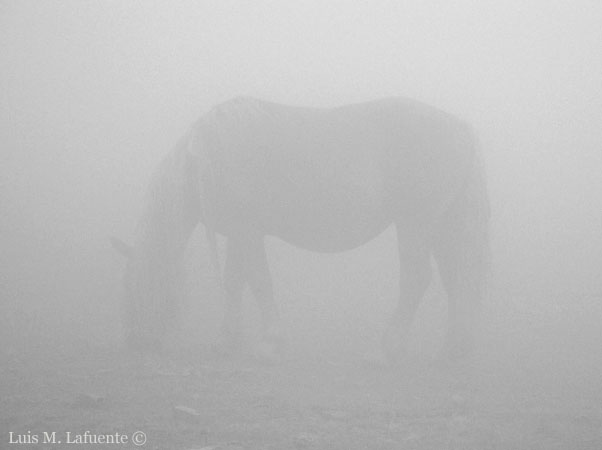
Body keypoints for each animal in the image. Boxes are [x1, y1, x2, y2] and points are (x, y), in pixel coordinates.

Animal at [111, 96, 488, 364]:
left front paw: (269, 344)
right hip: (440, 226)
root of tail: (460, 127)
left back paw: (386, 350)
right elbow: (235, 283)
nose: (134, 342)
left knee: (416, 279)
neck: (202, 157)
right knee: (457, 280)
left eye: (131, 286)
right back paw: (452, 350)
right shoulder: (237, 234)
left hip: (415, 225)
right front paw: (226, 342)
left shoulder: (248, 232)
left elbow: (259, 281)